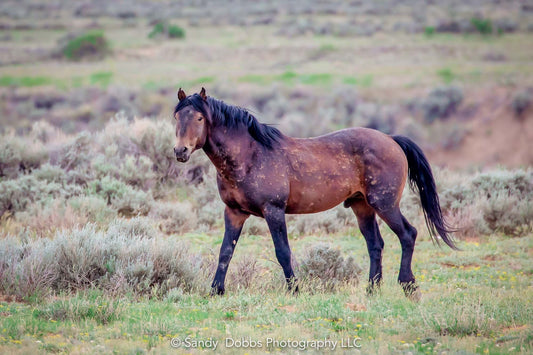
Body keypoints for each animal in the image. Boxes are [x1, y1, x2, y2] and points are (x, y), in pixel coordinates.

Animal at [172, 87, 456, 298]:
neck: (249, 156)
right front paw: (215, 291)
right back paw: (371, 290)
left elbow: (283, 252)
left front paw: (294, 290)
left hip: (385, 204)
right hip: (362, 207)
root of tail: (392, 140)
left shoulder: (273, 211)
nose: (180, 151)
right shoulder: (234, 212)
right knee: (375, 245)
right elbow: (225, 252)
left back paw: (408, 286)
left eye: (199, 118)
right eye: (176, 117)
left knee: (408, 234)